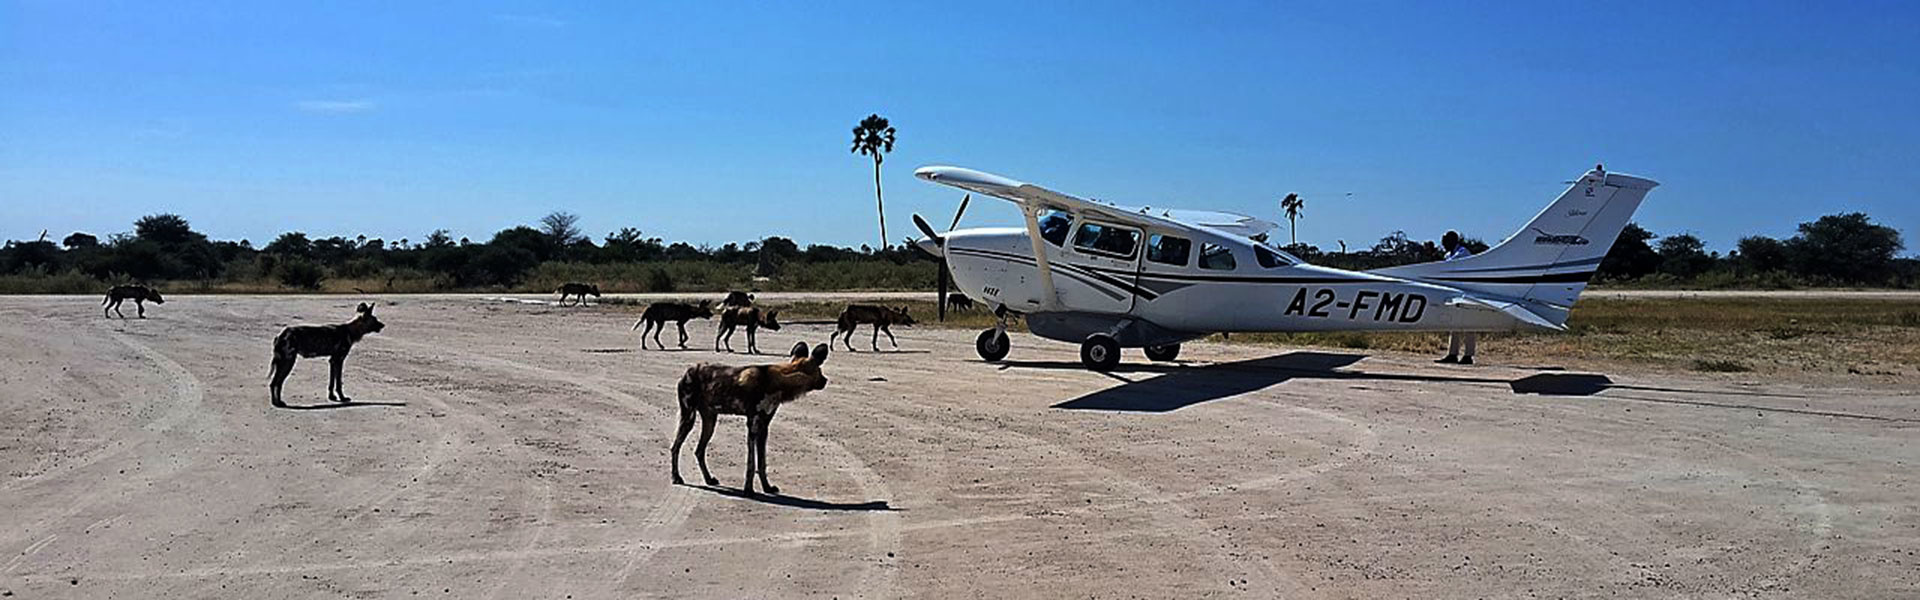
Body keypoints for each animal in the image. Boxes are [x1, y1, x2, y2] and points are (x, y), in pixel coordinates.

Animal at [672, 340, 829, 496]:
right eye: (820, 371)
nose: (826, 380)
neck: (778, 380)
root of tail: (688, 371)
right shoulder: (753, 425)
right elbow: (751, 464)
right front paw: (748, 490)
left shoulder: (764, 427)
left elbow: (762, 463)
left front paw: (767, 488)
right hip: (688, 417)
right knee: (675, 447)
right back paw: (676, 477)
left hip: (710, 422)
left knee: (699, 451)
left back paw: (709, 480)